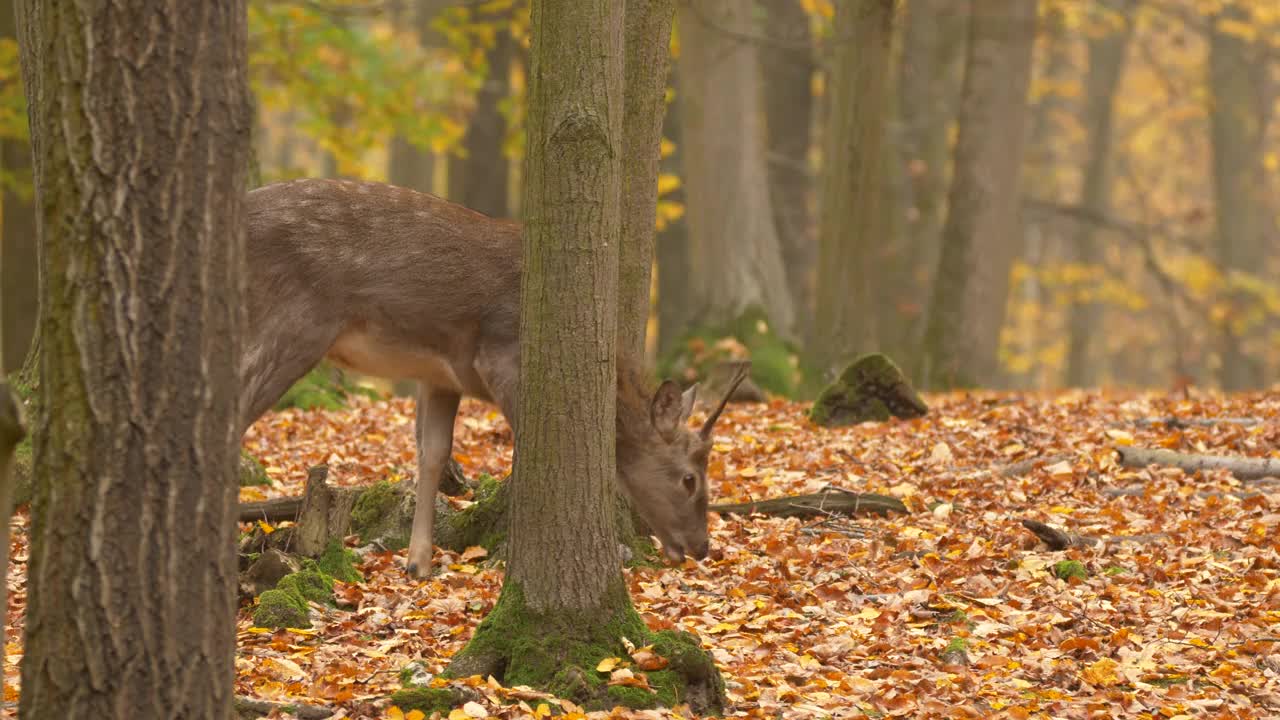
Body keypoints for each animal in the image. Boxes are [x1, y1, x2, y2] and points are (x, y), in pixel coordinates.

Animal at [238, 179, 747, 576]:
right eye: (689, 479)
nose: (701, 546)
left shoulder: (439, 375)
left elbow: (432, 454)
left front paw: (417, 564)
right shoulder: (502, 358)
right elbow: (529, 447)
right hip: (293, 323)